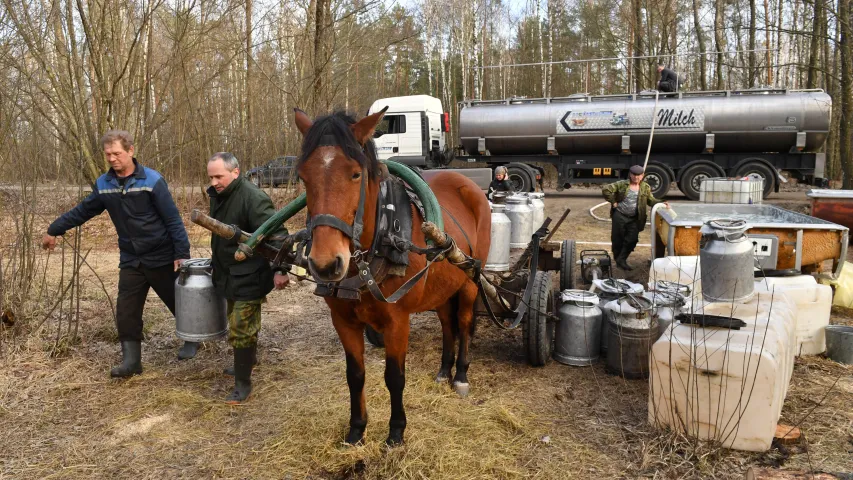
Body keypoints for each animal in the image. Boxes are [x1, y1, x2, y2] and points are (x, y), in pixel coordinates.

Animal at [294, 109, 490, 446]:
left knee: (463, 324)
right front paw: (356, 430)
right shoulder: (343, 320)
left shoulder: (397, 321)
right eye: (304, 177)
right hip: (441, 285)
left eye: (355, 174)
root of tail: (468, 183)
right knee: (447, 324)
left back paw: (461, 375)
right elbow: (355, 375)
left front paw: (396, 432)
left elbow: (394, 377)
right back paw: (444, 370)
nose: (326, 264)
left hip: (468, 281)